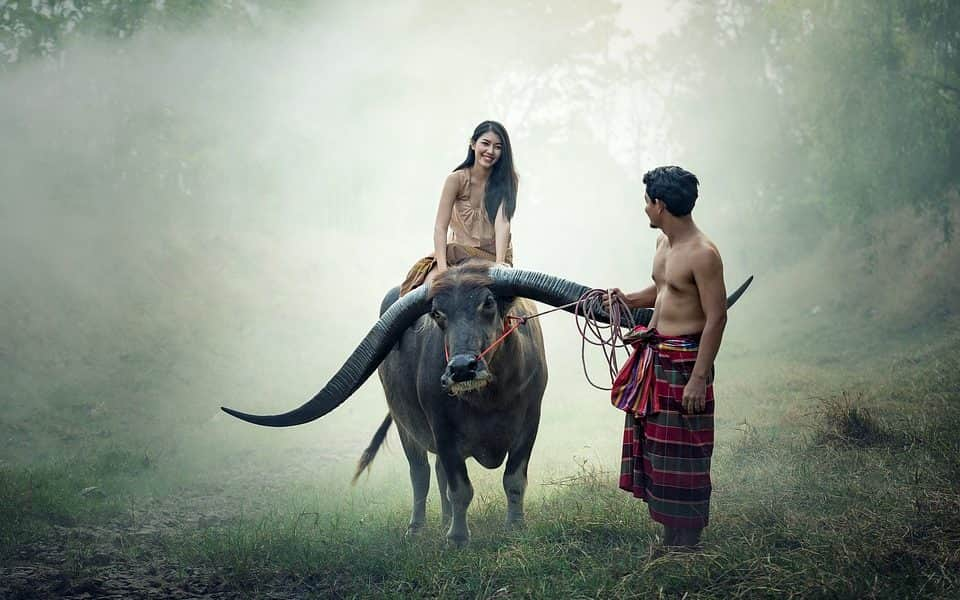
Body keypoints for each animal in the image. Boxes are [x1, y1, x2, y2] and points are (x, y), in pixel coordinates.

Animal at [223, 262, 752, 544]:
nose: (460, 368)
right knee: (422, 476)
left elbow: (513, 480)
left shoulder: (530, 423)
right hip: (409, 430)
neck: (489, 398)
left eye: (488, 304)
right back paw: (422, 528)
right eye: (437, 314)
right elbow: (460, 487)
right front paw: (458, 538)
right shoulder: (442, 430)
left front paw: (515, 528)